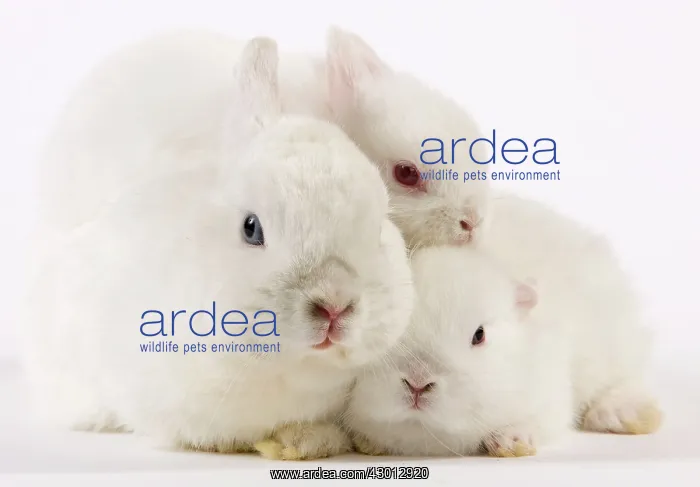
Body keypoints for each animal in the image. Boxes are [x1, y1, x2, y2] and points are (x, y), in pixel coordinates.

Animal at [343, 243, 662, 457]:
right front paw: (369, 443)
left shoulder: (551, 397)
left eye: (479, 335)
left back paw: (625, 416)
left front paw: (512, 441)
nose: (418, 383)